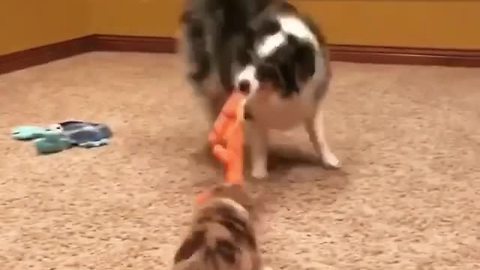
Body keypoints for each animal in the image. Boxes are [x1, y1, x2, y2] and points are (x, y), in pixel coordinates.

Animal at [180, 0, 342, 179]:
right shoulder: (252, 109)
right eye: (247, 57)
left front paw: (329, 159)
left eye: (268, 69)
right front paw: (259, 172)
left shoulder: (312, 101)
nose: (241, 85)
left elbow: (318, 135)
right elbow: (259, 140)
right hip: (209, 72)